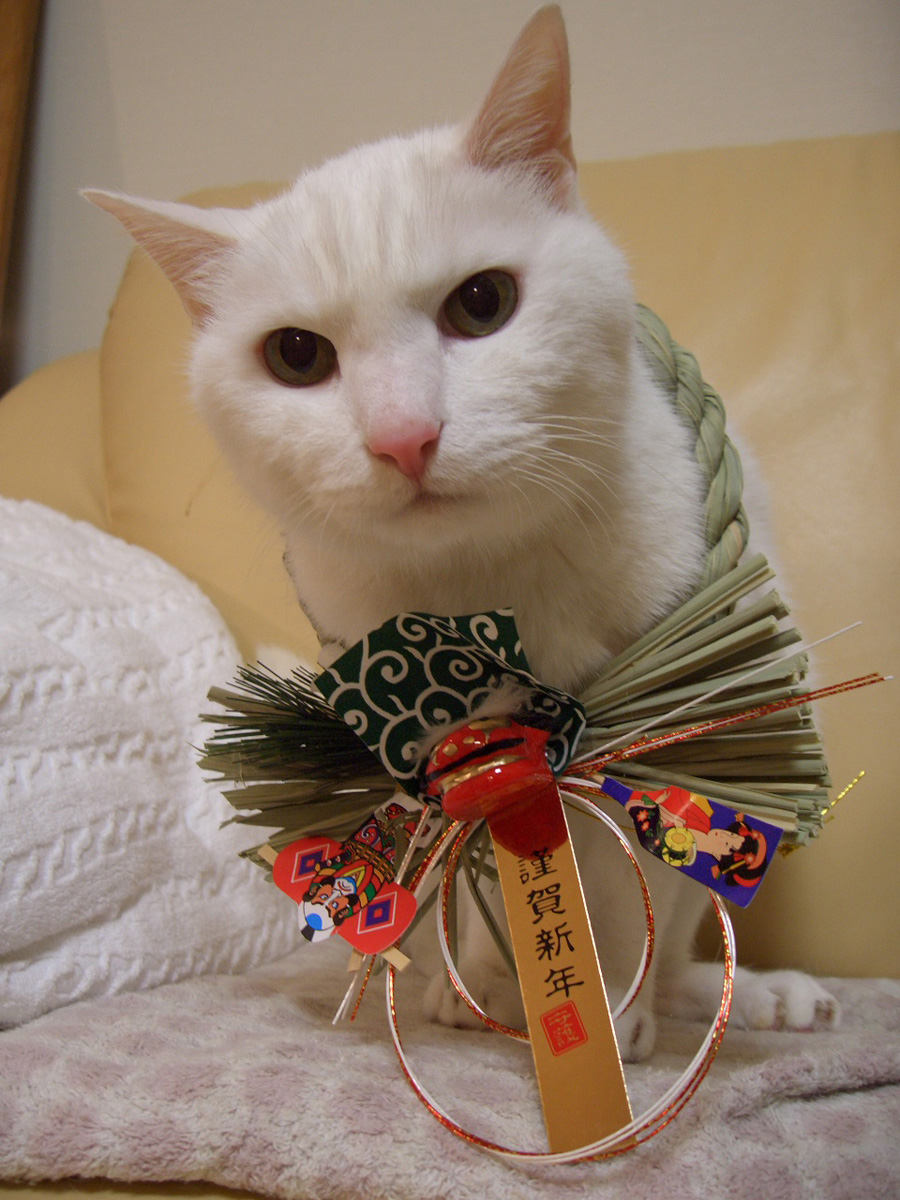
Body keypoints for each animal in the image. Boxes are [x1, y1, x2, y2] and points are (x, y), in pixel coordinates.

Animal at [86, 4, 837, 1059]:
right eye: (295, 356)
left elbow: (625, 884)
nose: (404, 436)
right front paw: (487, 982)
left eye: (483, 303)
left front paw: (613, 1013)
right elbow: (479, 875)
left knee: (690, 916)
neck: (486, 587)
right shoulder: (425, 751)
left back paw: (738, 996)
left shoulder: (649, 734)